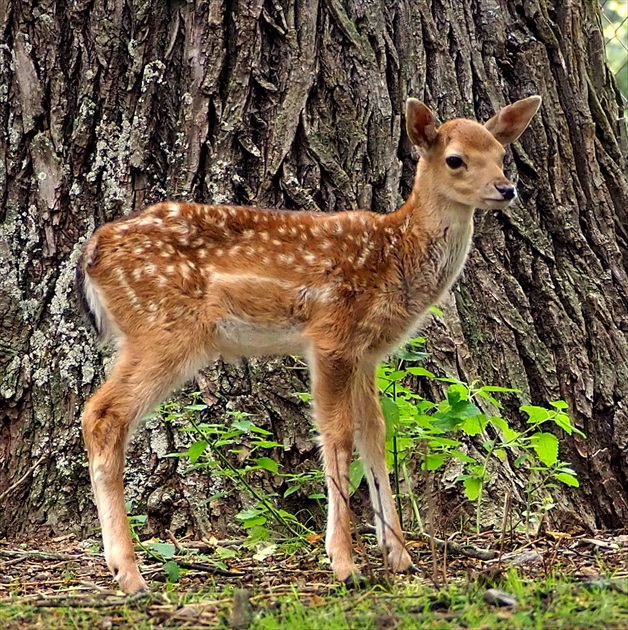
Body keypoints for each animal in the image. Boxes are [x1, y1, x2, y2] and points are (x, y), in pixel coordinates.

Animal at [77, 94, 540, 592]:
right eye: (455, 159)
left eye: (501, 154)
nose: (506, 189)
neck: (397, 253)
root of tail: (92, 254)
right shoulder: (330, 335)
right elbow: (337, 434)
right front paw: (344, 562)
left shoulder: (367, 352)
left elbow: (375, 433)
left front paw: (399, 554)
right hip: (163, 326)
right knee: (102, 413)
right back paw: (128, 573)